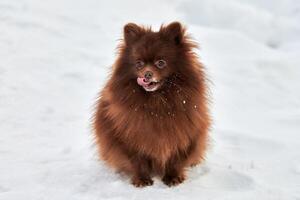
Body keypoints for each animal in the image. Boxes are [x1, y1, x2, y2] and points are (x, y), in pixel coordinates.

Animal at [92, 22, 210, 188]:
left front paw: (173, 177)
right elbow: (137, 161)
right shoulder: (130, 137)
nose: (147, 74)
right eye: (139, 64)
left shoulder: (184, 134)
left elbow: (176, 160)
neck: (157, 103)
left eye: (161, 63)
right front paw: (142, 180)